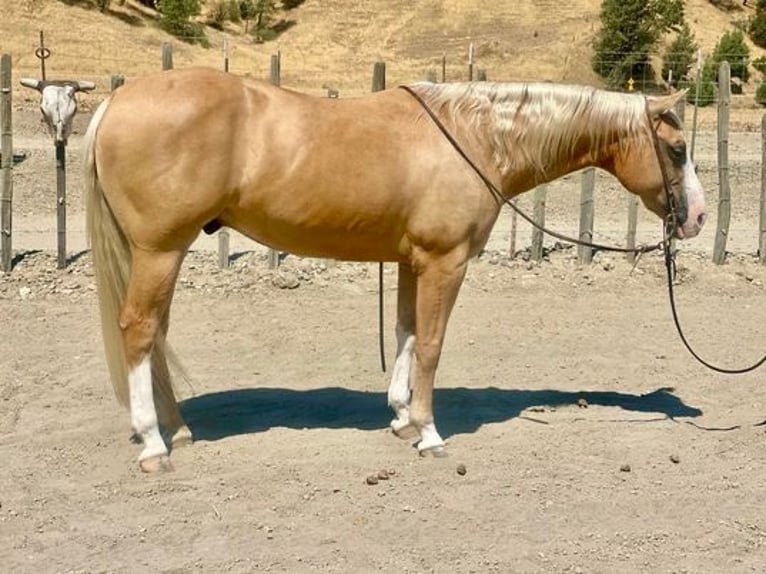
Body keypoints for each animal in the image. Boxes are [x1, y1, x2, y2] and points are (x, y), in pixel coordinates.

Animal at [83, 67, 706, 472]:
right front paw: (429, 433)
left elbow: (406, 333)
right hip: (160, 250)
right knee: (139, 329)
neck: (475, 137)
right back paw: (154, 445)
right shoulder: (444, 261)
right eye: (677, 150)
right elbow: (430, 343)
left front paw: (403, 417)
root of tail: (117, 101)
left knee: (156, 334)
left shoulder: (413, 260)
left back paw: (177, 430)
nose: (697, 217)